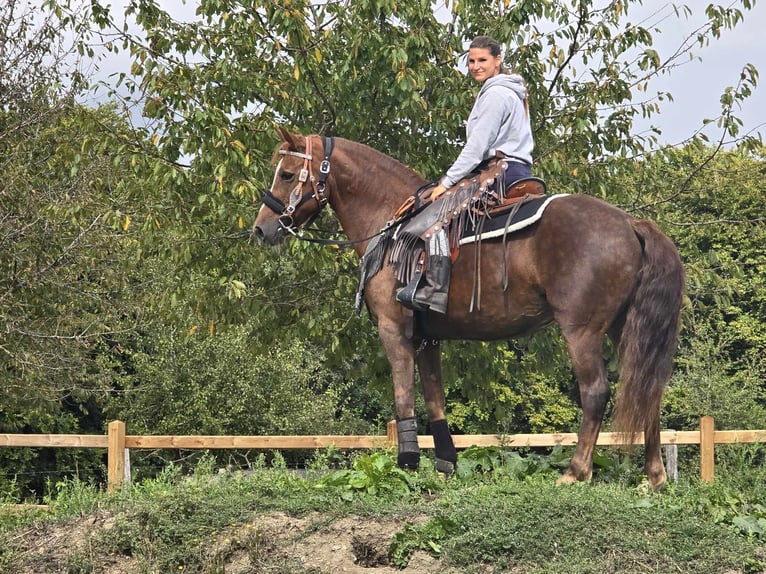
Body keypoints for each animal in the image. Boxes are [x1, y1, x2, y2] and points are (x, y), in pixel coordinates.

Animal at [255, 128, 688, 492]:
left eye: (288, 174)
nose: (262, 228)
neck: (389, 225)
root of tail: (631, 223)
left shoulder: (394, 329)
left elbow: (403, 395)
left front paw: (407, 463)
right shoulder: (427, 338)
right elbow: (435, 399)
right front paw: (445, 464)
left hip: (582, 331)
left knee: (595, 392)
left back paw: (575, 472)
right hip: (624, 330)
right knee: (648, 390)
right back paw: (655, 477)